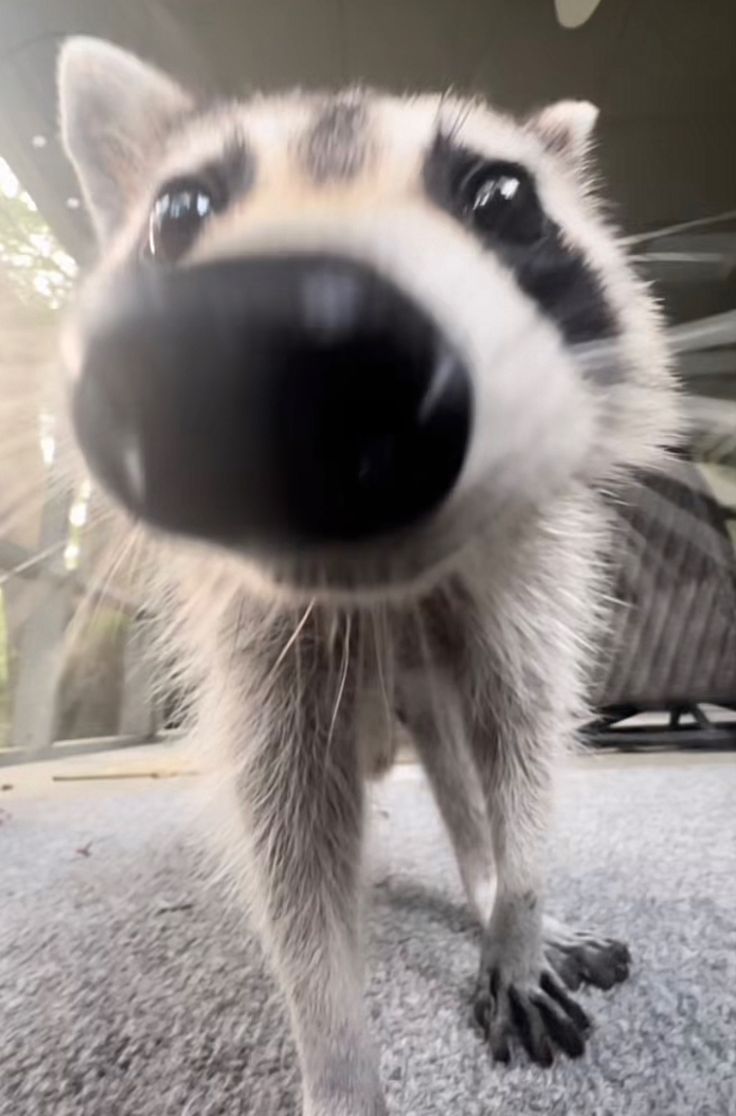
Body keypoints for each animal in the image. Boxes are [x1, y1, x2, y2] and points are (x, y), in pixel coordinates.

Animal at [58, 39, 683, 1111]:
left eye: (505, 196)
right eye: (176, 211)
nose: (301, 346)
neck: (382, 591)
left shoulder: (527, 590)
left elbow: (522, 744)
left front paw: (518, 904)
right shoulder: (260, 655)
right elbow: (290, 852)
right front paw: (338, 1054)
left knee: (469, 770)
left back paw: (494, 891)